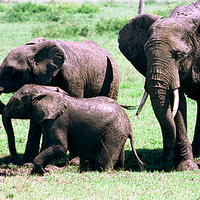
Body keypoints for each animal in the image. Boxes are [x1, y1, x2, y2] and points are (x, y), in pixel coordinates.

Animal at [2, 83, 144, 174]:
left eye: (16, 103)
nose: (16, 162)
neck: (46, 91)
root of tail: (129, 125)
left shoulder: (57, 121)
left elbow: (59, 147)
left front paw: (39, 172)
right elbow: (50, 145)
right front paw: (41, 171)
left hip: (113, 131)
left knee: (102, 162)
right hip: (119, 133)